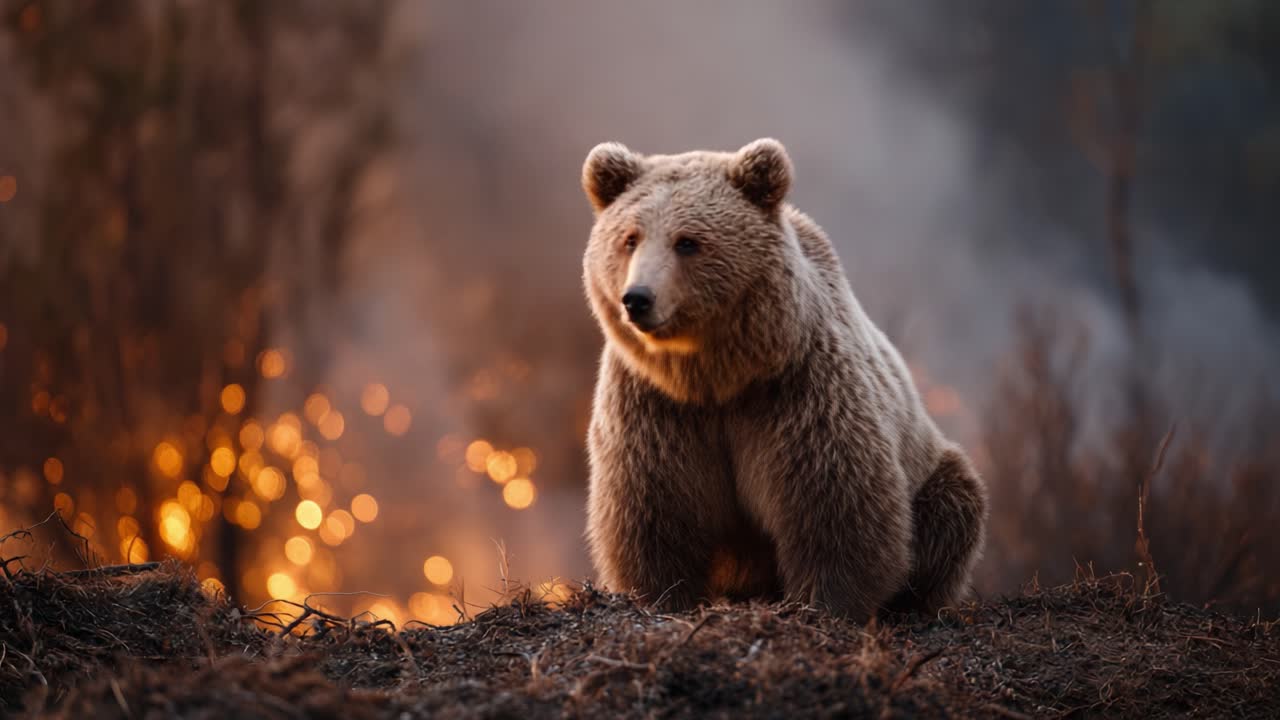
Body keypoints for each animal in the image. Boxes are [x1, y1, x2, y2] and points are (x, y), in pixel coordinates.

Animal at [580, 138, 988, 621]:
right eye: (629, 238)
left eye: (688, 241)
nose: (638, 298)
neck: (716, 375)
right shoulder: (656, 405)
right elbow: (654, 509)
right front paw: (664, 596)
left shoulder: (798, 393)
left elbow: (832, 503)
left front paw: (825, 600)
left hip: (928, 471)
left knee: (955, 506)